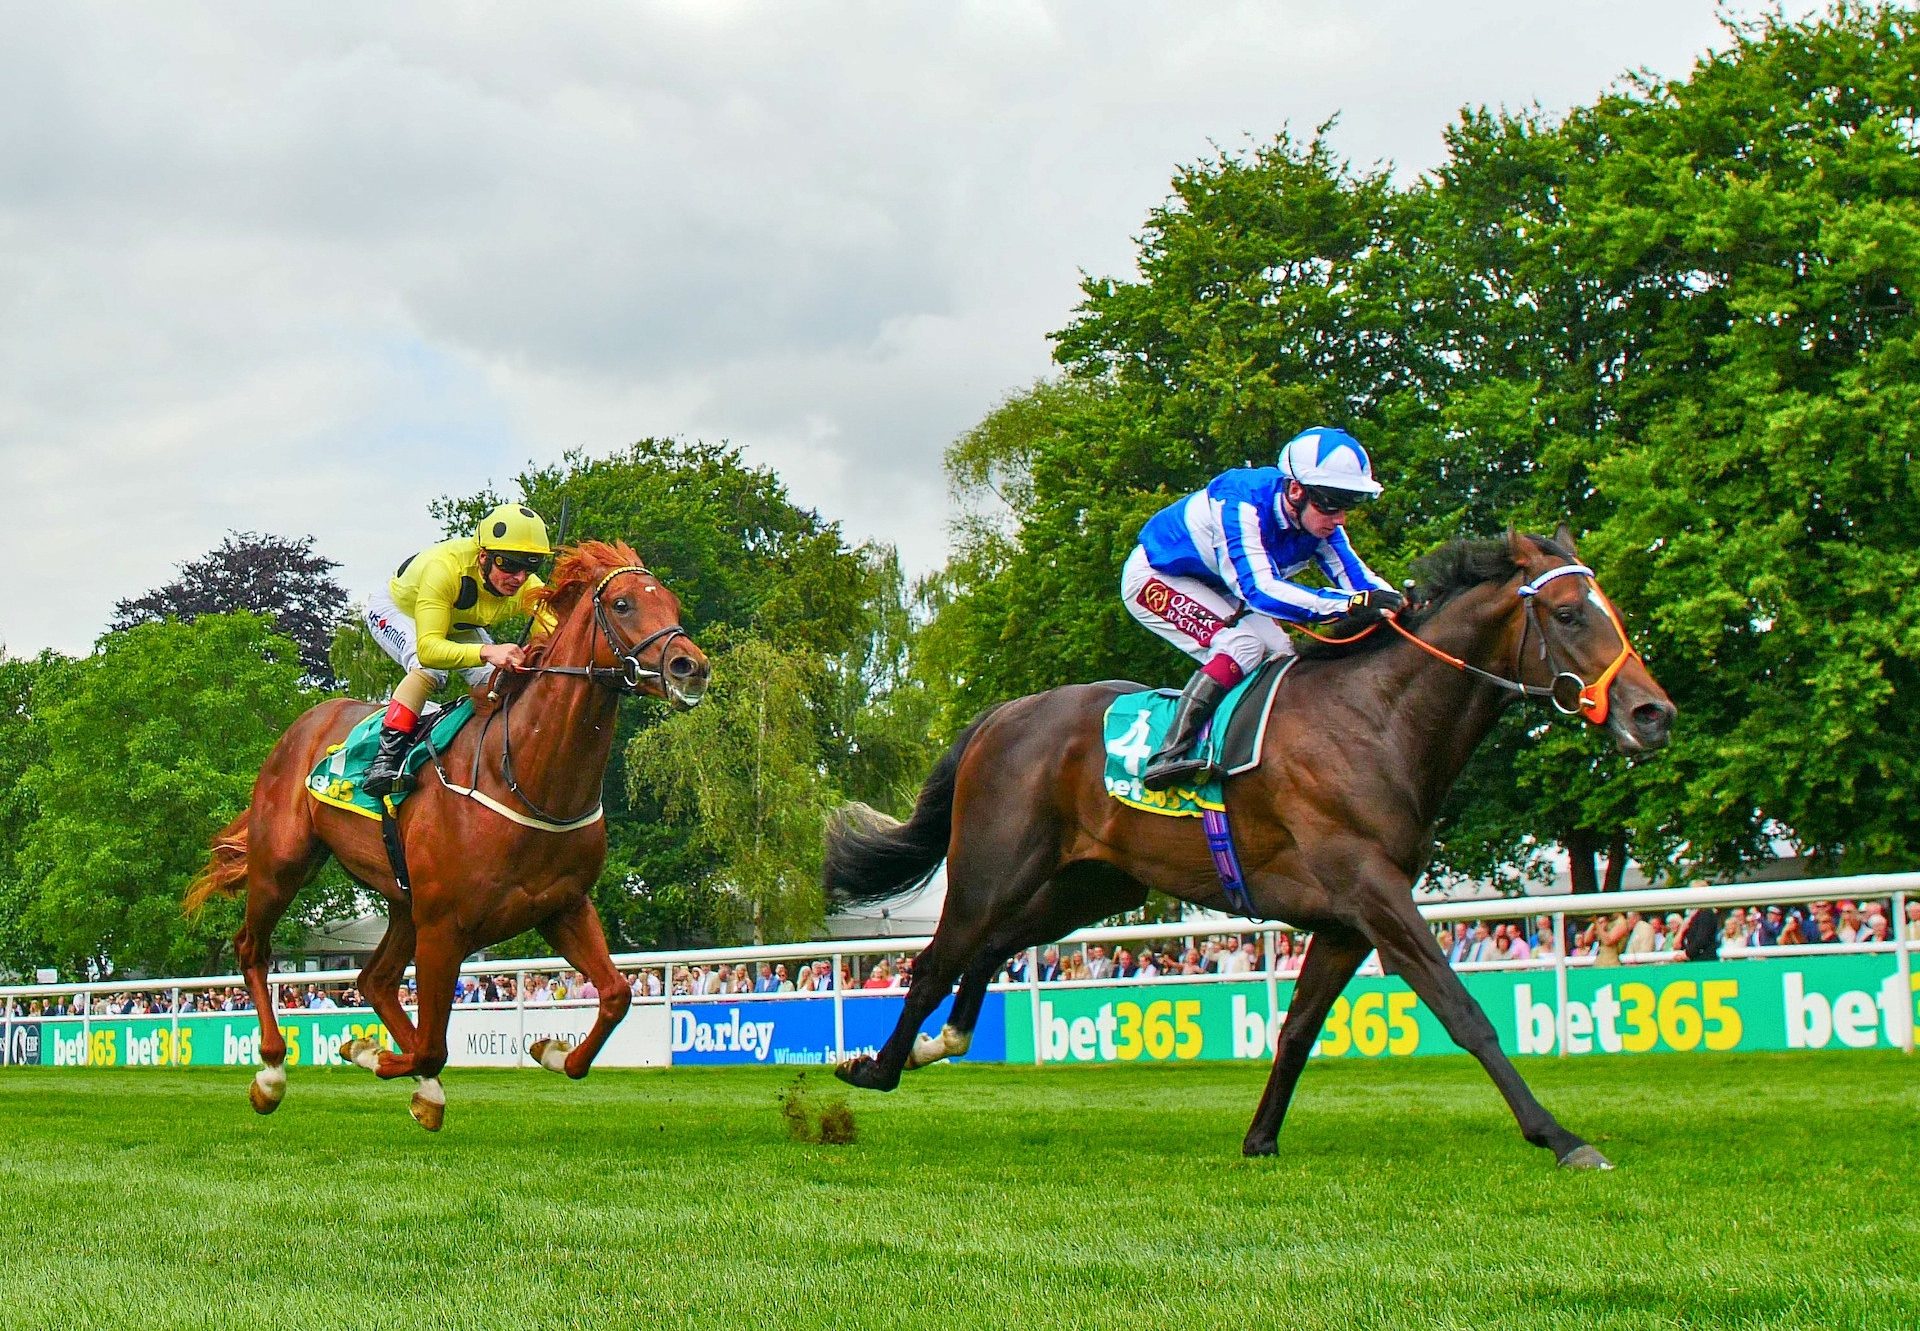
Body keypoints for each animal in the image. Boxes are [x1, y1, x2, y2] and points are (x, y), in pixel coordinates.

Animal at [183, 533, 710, 1129]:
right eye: (622, 604)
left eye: (672, 603)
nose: (690, 667)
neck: (524, 775)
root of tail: (302, 724)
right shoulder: (445, 926)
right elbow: (433, 1047)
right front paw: (393, 1067)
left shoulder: (562, 906)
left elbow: (617, 994)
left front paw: (551, 1051)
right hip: (283, 864)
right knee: (254, 948)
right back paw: (272, 1071)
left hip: (402, 899)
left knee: (374, 980)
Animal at [833, 526, 1674, 1167]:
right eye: (1567, 614)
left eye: (1607, 607)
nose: (1653, 713)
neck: (1377, 719)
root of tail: (999, 716)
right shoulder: (1373, 891)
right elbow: (1463, 1011)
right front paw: (1560, 1136)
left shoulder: (1346, 918)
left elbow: (1298, 1027)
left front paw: (1260, 1137)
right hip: (993, 868)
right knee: (936, 960)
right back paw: (878, 1066)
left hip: (1091, 884)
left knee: (989, 949)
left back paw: (939, 1043)